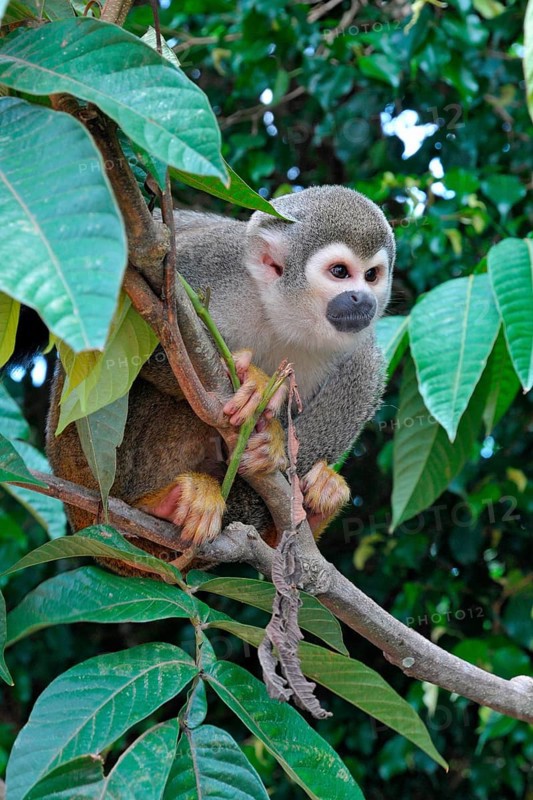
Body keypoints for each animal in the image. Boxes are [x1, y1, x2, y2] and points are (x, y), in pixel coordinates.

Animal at [44, 185, 395, 572]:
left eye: (372, 275)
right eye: (340, 272)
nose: (362, 299)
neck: (282, 314)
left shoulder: (361, 349)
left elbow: (362, 380)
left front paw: (272, 442)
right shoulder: (207, 259)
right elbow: (133, 328)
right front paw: (255, 383)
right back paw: (157, 506)